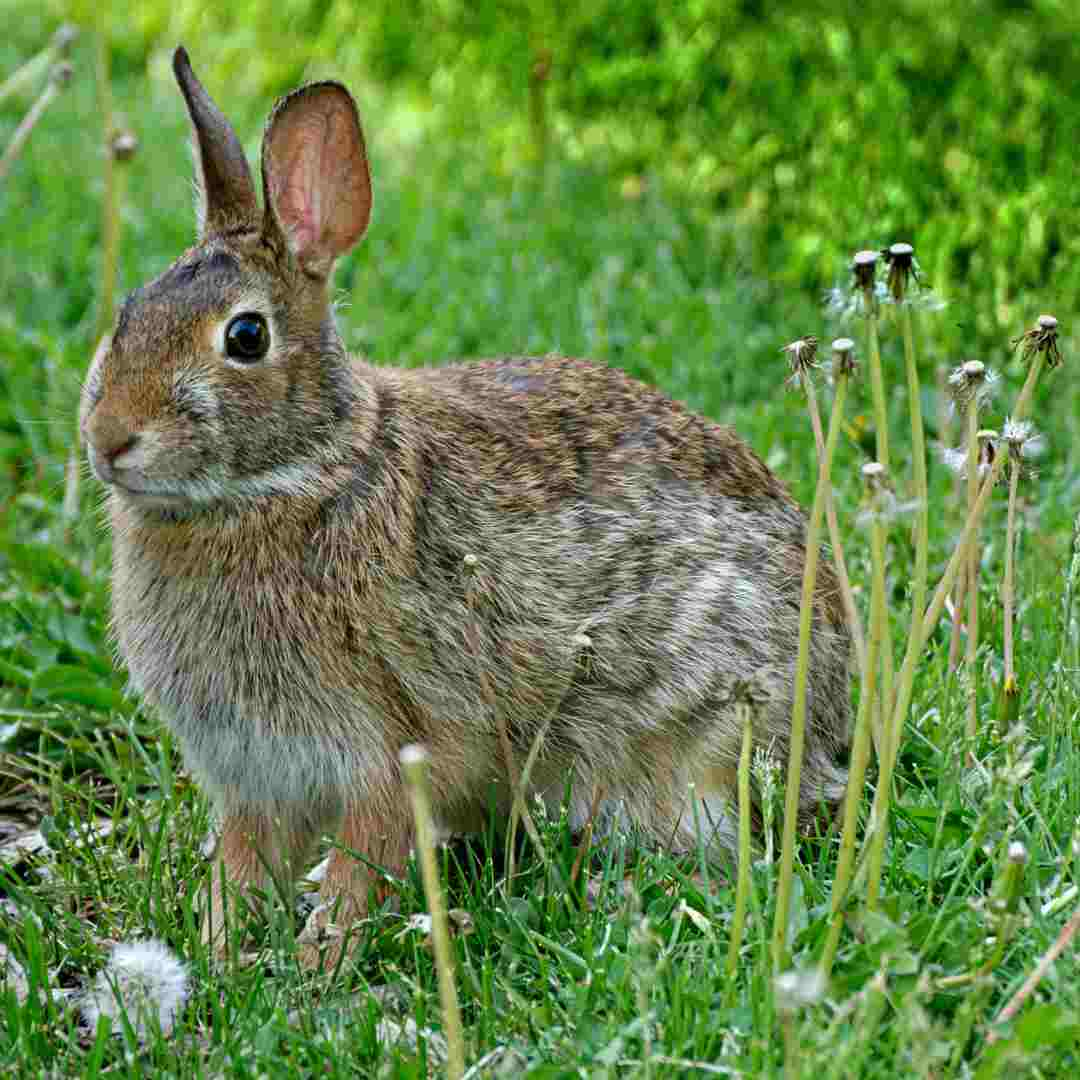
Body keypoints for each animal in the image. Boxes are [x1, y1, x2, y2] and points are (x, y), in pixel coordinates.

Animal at [79, 46, 851, 967]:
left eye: (246, 338)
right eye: (129, 312)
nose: (108, 439)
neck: (297, 477)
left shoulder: (390, 747)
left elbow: (365, 857)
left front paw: (318, 963)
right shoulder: (254, 775)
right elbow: (241, 868)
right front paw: (217, 952)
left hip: (699, 738)